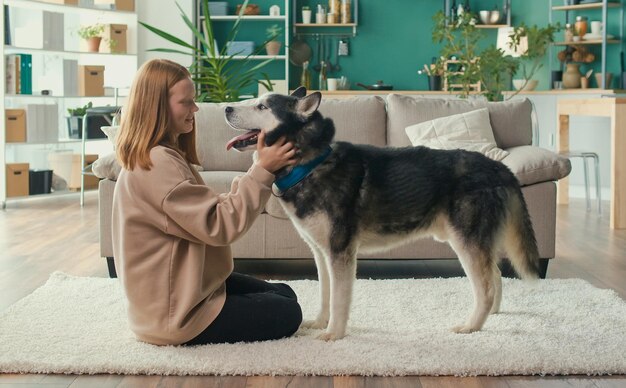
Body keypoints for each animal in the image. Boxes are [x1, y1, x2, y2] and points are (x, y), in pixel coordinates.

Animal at [223, 87, 536, 340]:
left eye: (262, 107)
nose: (226, 108)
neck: (309, 164)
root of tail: (499, 167)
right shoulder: (321, 253)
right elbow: (325, 294)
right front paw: (320, 322)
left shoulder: (341, 252)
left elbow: (339, 299)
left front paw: (334, 333)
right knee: (495, 276)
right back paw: (491, 315)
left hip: (465, 242)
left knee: (486, 287)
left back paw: (472, 326)